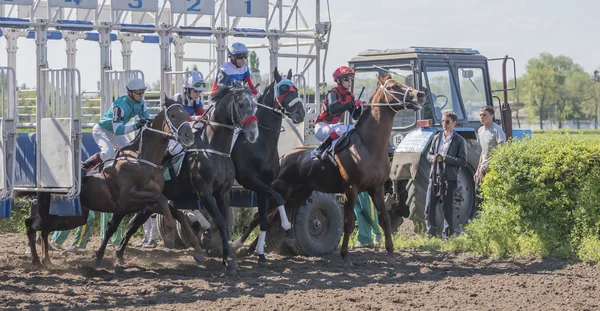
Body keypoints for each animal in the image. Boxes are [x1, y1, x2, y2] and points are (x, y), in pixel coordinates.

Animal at [22, 98, 192, 268]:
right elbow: (161, 200)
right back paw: (37, 260)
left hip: (71, 217)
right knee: (31, 224)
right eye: (173, 115)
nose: (189, 136)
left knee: (43, 230)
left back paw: (46, 260)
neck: (141, 160)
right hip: (58, 213)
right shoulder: (128, 197)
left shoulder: (140, 204)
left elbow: (163, 208)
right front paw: (170, 235)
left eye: (187, 114)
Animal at [94, 85, 258, 272]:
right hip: (127, 200)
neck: (213, 149)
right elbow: (220, 221)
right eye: (241, 104)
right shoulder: (204, 192)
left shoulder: (223, 193)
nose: (253, 133)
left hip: (146, 202)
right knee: (113, 225)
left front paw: (226, 256)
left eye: (254, 105)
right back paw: (100, 256)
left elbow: (223, 222)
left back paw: (119, 255)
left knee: (133, 225)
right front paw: (229, 259)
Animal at [251, 73, 424, 266]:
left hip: (297, 196)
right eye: (393, 86)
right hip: (281, 190)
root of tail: (284, 157)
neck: (369, 146)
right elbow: (347, 223)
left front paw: (391, 253)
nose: (419, 94)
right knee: (259, 217)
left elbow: (385, 219)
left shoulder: (376, 188)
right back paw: (243, 249)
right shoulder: (351, 189)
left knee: (271, 219)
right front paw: (345, 255)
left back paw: (249, 249)